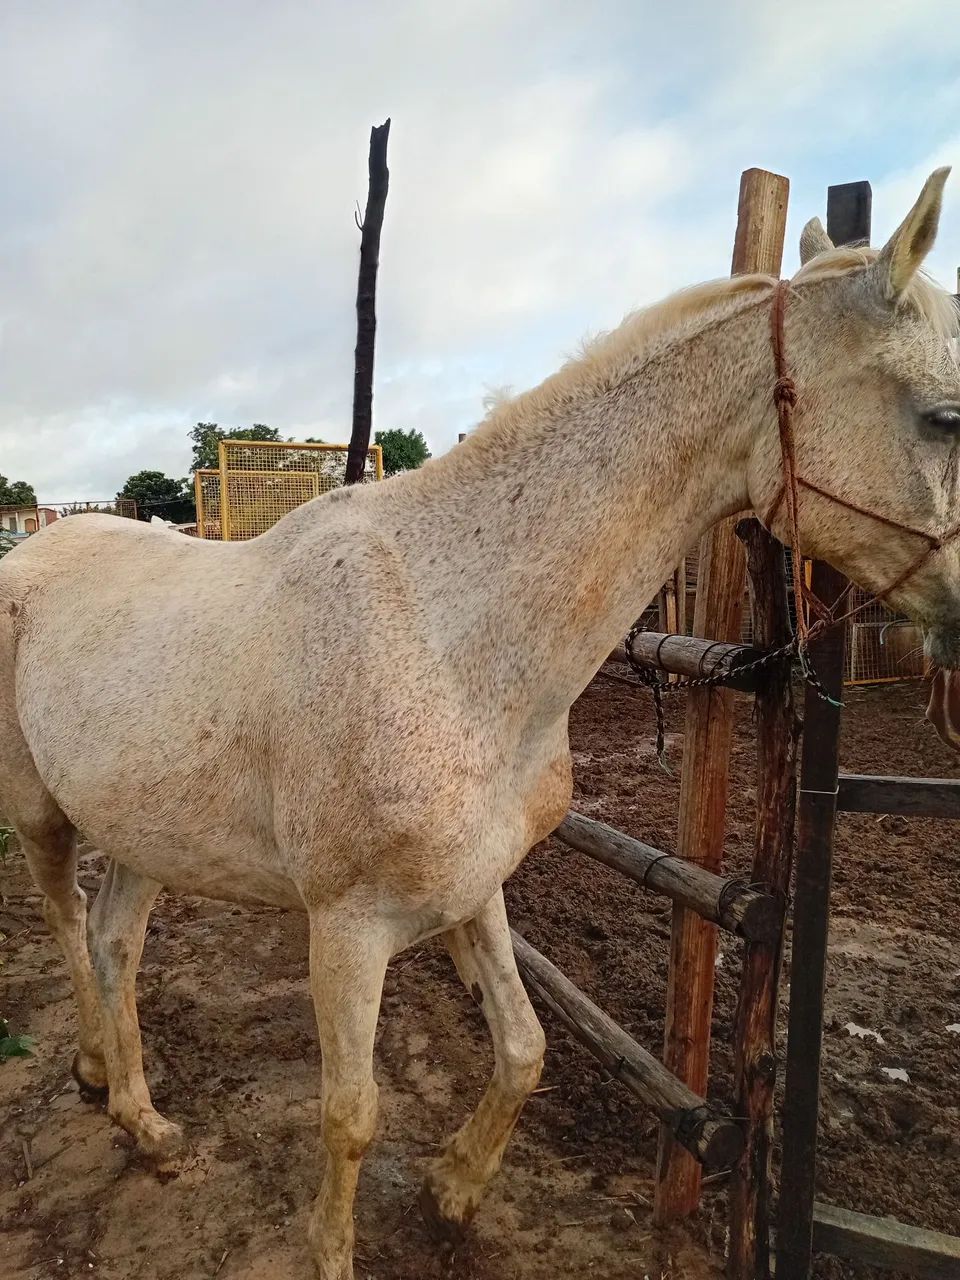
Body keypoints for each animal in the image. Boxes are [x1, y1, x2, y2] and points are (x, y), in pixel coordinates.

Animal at [2, 169, 959, 1280]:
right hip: (42, 819)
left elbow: (524, 1047)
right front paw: (336, 1245)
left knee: (113, 941)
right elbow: (350, 1113)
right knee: (70, 932)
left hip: (144, 831)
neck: (448, 634)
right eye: (946, 416)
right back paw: (95, 1074)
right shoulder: (347, 928)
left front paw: (456, 1182)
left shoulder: (475, 886)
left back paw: (143, 1118)